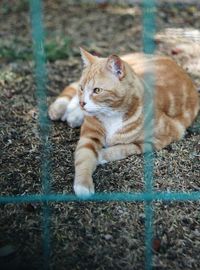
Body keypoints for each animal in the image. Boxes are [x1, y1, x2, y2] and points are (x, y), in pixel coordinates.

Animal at [48, 48, 198, 196]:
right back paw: (61, 109)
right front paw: (83, 184)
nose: (82, 103)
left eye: (97, 90)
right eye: (82, 88)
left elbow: (124, 148)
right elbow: (83, 158)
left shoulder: (162, 137)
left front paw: (100, 155)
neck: (112, 114)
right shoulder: (89, 138)